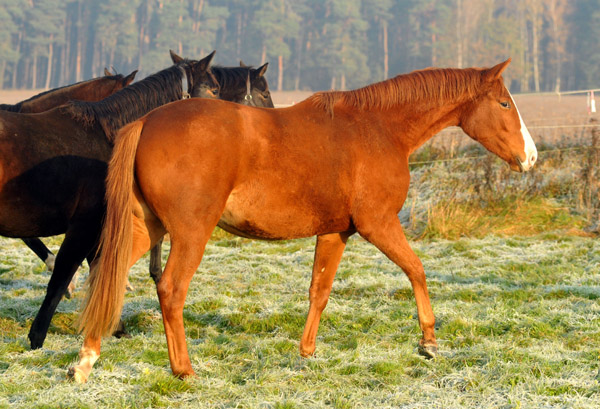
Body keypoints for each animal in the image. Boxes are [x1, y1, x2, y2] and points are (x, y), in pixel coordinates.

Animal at [70, 59, 536, 380]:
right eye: (504, 103)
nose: (530, 157)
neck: (377, 128)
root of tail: (146, 121)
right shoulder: (378, 224)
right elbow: (417, 270)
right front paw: (429, 341)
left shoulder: (335, 232)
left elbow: (319, 291)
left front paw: (307, 351)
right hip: (190, 234)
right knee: (170, 290)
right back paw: (183, 369)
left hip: (146, 229)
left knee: (107, 275)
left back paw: (86, 360)